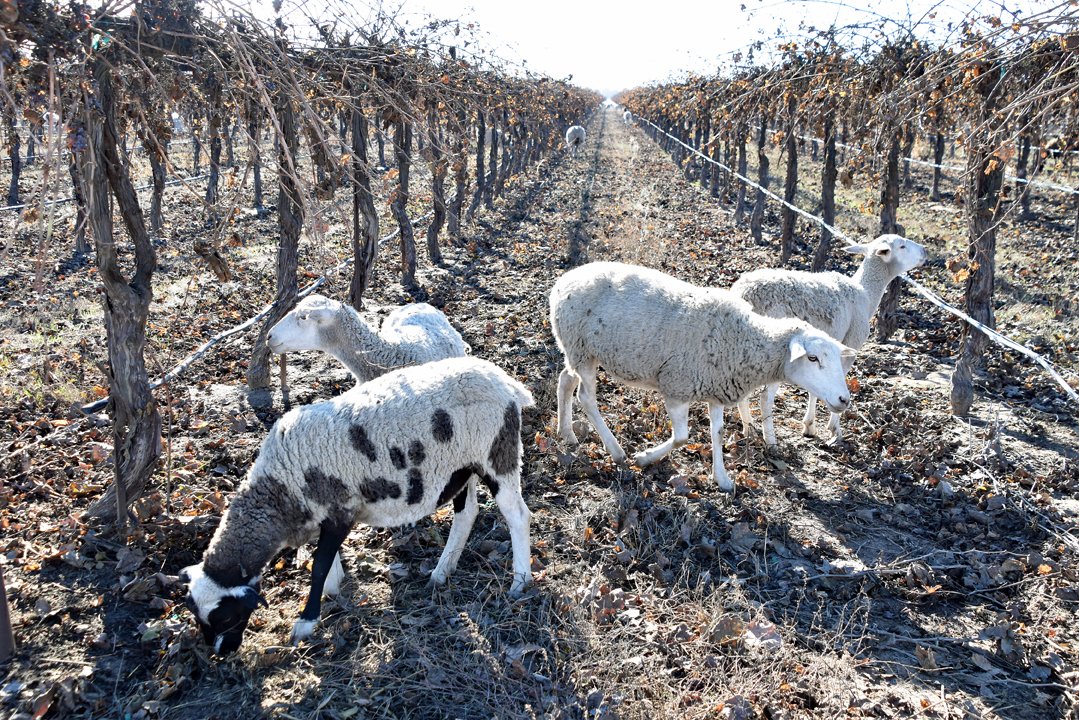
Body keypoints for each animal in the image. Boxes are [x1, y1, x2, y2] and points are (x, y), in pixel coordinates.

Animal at [180, 356, 535, 654]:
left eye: (225, 616)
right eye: (197, 615)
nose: (222, 652)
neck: (281, 487)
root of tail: (505, 382)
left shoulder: (341, 511)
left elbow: (319, 566)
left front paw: (306, 622)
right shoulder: (322, 515)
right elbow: (326, 562)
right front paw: (333, 591)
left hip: (496, 454)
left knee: (517, 515)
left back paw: (520, 581)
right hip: (460, 468)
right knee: (467, 512)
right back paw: (441, 572)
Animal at [550, 262, 856, 492]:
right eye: (813, 358)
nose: (844, 399)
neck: (744, 339)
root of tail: (563, 281)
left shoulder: (717, 387)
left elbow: (717, 434)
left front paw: (722, 479)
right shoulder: (677, 387)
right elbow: (682, 438)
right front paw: (645, 458)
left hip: (577, 350)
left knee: (565, 380)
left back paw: (567, 433)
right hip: (581, 348)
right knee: (586, 397)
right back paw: (616, 451)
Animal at [731, 234, 927, 446]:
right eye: (902, 246)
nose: (924, 251)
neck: (865, 293)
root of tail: (746, 294)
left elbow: (816, 387)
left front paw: (809, 426)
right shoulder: (849, 346)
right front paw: (834, 429)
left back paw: (749, 430)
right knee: (766, 397)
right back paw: (771, 441)